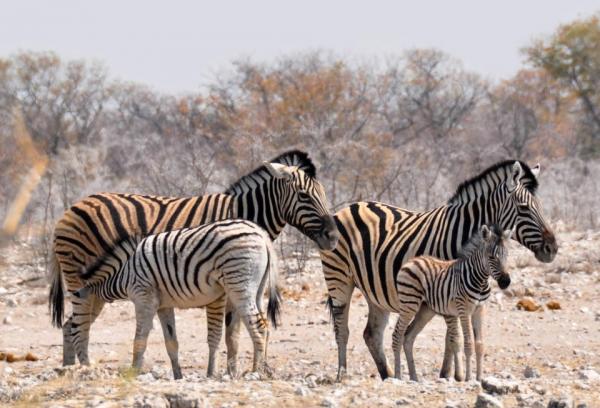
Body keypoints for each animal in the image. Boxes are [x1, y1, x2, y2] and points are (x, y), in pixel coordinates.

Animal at [74, 220, 280, 380]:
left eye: (87, 309)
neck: (124, 272)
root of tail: (261, 234)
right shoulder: (163, 306)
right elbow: (171, 342)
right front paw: (178, 375)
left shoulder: (143, 298)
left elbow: (139, 339)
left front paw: (133, 372)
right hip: (256, 290)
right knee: (265, 326)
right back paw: (263, 369)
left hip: (239, 286)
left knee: (259, 327)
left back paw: (256, 371)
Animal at [392, 225, 512, 380]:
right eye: (491, 257)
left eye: (507, 256)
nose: (505, 282)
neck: (480, 281)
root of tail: (411, 260)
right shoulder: (464, 310)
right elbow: (468, 343)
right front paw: (468, 378)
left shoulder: (480, 309)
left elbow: (480, 345)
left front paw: (479, 378)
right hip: (409, 304)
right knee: (398, 334)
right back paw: (397, 376)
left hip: (425, 310)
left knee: (408, 337)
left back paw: (414, 377)